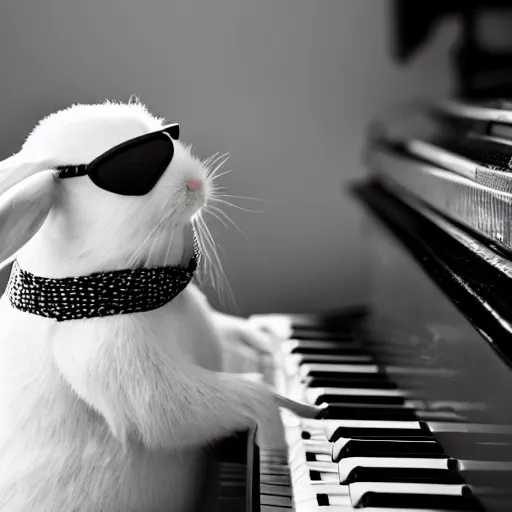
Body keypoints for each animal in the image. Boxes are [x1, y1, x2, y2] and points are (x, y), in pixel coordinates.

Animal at [0, 101, 320, 512]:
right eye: (131, 171)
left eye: (171, 136)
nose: (196, 183)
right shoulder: (128, 370)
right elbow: (214, 404)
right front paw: (284, 434)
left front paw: (267, 341)